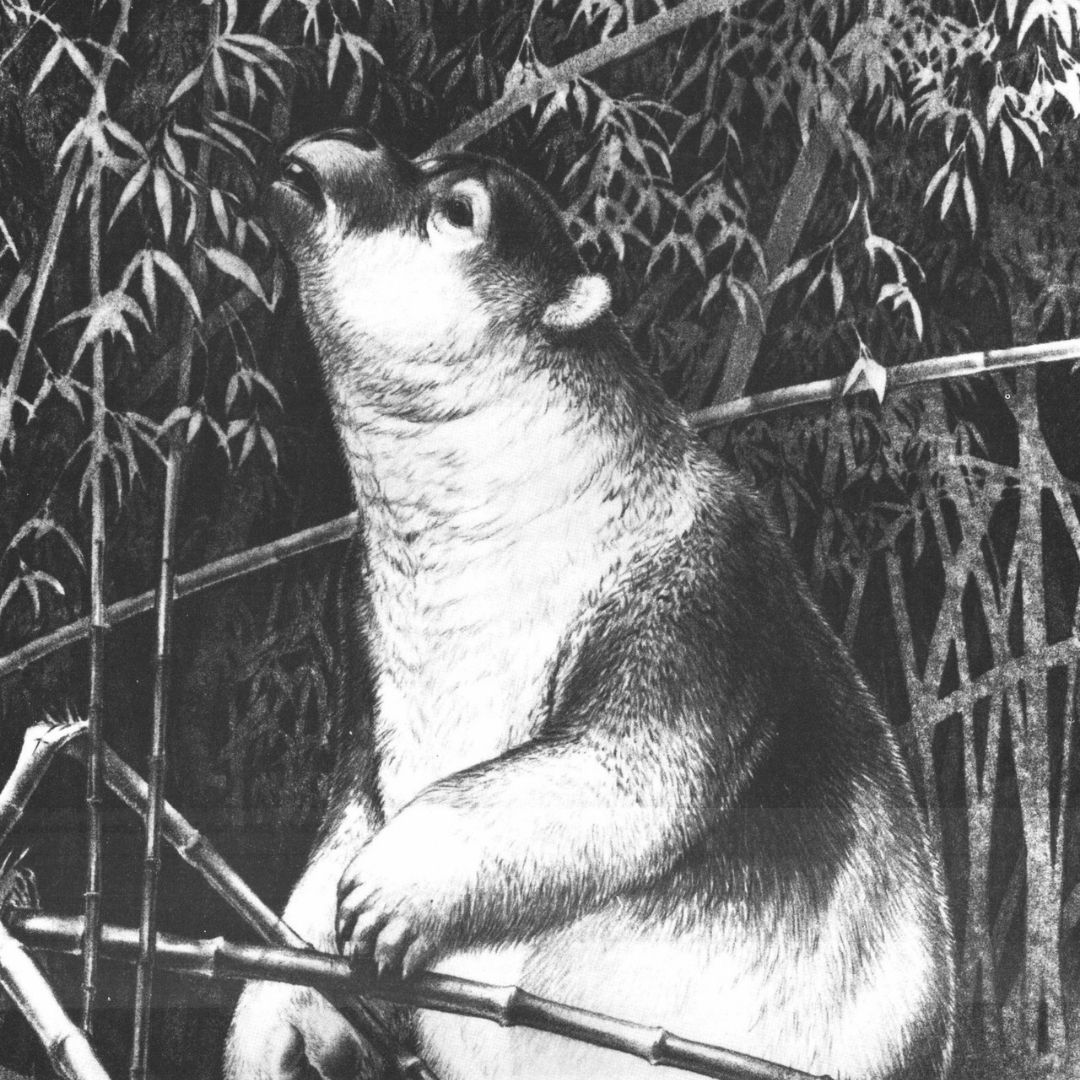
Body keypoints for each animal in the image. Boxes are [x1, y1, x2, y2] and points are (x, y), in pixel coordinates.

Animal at [224, 127, 955, 1080]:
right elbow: (339, 838)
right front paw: (277, 1022)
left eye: (457, 210)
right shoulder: (368, 646)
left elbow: (625, 775)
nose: (309, 158)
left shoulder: (694, 597)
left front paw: (397, 889)